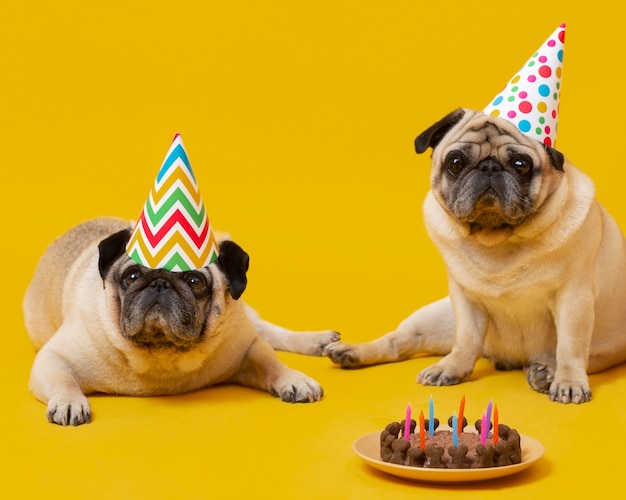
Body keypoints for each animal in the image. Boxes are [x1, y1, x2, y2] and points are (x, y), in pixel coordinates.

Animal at [24, 217, 338, 424]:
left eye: (195, 281)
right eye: (132, 276)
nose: (160, 283)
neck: (163, 355)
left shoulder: (247, 347)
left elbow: (271, 362)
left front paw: (293, 379)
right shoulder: (52, 358)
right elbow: (64, 379)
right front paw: (69, 401)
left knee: (273, 334)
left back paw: (320, 341)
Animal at [324, 108, 624, 402]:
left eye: (521, 165)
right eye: (455, 162)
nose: (489, 166)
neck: (496, 241)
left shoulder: (574, 298)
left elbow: (570, 346)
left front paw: (569, 382)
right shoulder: (464, 297)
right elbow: (467, 339)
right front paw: (451, 368)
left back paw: (546, 373)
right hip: (433, 319)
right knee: (400, 342)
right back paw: (352, 352)